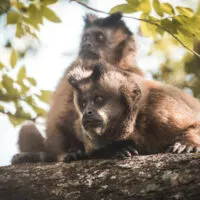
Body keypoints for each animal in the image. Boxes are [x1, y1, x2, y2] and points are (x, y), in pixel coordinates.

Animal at [11, 11, 144, 163]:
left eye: (99, 37)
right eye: (86, 37)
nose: (86, 44)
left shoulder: (133, 72)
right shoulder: (76, 66)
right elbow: (61, 115)